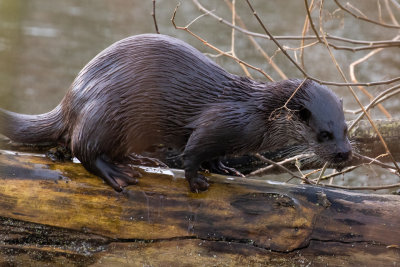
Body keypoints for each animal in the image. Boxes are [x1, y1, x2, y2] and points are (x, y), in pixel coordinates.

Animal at [0, 33, 350, 193]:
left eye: (345, 129)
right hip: (104, 113)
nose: (345, 153)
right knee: (82, 148)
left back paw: (140, 159)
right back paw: (117, 173)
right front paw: (196, 181)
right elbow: (193, 153)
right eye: (324, 134)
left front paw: (224, 168)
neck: (257, 114)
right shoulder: (220, 123)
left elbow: (213, 156)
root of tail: (70, 100)